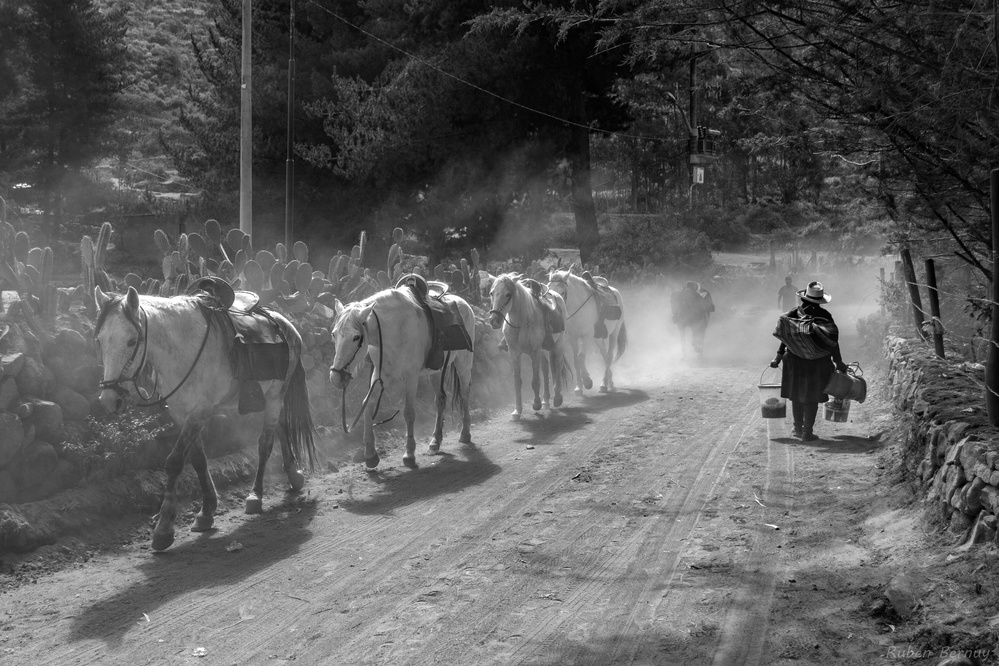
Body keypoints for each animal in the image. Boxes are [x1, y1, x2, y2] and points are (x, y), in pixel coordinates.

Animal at [93, 286, 316, 548]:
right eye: (100, 341)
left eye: (132, 341)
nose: (110, 399)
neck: (181, 348)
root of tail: (287, 324)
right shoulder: (181, 414)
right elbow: (198, 460)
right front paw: (206, 511)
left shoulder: (200, 411)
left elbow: (175, 461)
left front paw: (164, 528)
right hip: (272, 397)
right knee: (281, 427)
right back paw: (294, 474)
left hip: (275, 393)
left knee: (265, 444)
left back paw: (256, 495)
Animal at [328, 286, 476, 466]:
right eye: (334, 334)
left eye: (356, 337)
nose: (336, 377)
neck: (394, 329)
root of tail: (463, 302)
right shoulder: (379, 374)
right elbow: (367, 405)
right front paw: (370, 454)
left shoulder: (411, 376)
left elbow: (409, 413)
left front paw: (409, 454)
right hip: (435, 371)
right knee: (441, 399)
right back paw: (435, 442)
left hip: (463, 364)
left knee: (464, 395)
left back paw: (465, 434)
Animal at [490, 272, 576, 418]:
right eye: (491, 293)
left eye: (508, 294)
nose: (494, 320)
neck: (522, 322)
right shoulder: (514, 353)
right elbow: (517, 382)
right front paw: (517, 411)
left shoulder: (534, 352)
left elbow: (535, 381)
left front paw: (536, 403)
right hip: (543, 350)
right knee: (546, 368)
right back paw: (546, 401)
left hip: (559, 344)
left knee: (557, 366)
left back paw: (557, 398)